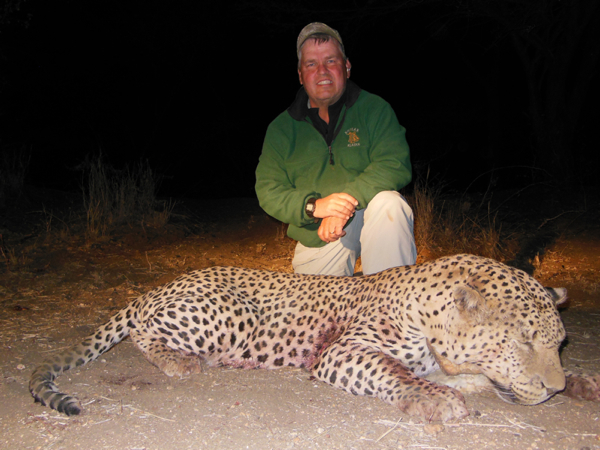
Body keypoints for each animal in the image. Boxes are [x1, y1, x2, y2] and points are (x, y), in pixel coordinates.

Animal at [29, 254, 595, 422]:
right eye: (524, 341)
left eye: (559, 342)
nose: (553, 388)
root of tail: (157, 286)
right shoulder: (341, 351)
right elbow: (394, 371)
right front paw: (434, 399)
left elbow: (473, 377)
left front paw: (581, 383)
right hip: (231, 314)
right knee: (142, 332)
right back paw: (181, 363)